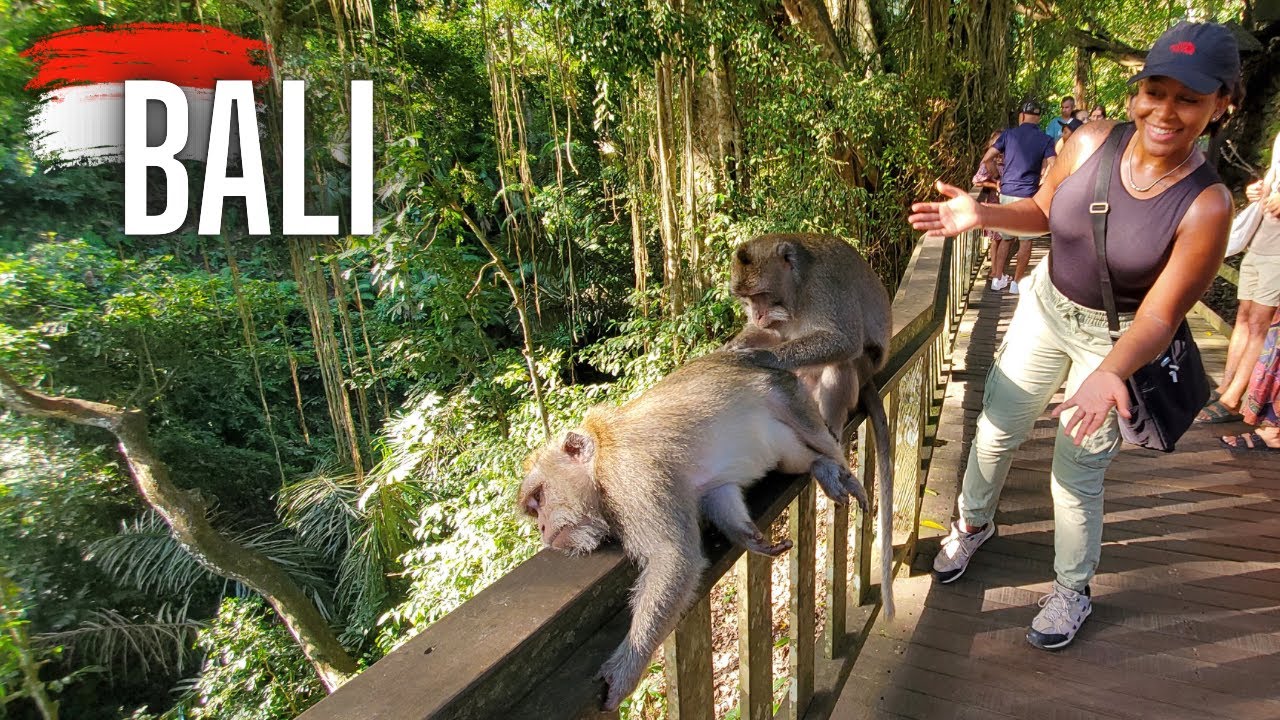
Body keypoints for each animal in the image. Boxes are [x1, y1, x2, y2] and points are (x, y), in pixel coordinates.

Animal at [517, 351, 867, 711]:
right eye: (533, 508)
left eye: (539, 496)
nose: (542, 527)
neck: (600, 463)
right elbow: (718, 493)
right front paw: (747, 537)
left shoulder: (632, 476)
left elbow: (674, 558)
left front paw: (628, 667)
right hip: (782, 440)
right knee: (790, 459)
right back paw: (818, 465)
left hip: (789, 395)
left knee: (815, 433)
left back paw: (839, 469)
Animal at [725, 232, 896, 620]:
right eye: (746, 299)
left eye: (760, 295)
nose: (757, 314)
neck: (798, 287)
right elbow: (772, 335)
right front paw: (736, 343)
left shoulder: (826, 287)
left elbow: (842, 340)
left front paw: (762, 357)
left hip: (861, 370)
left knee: (843, 362)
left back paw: (830, 430)